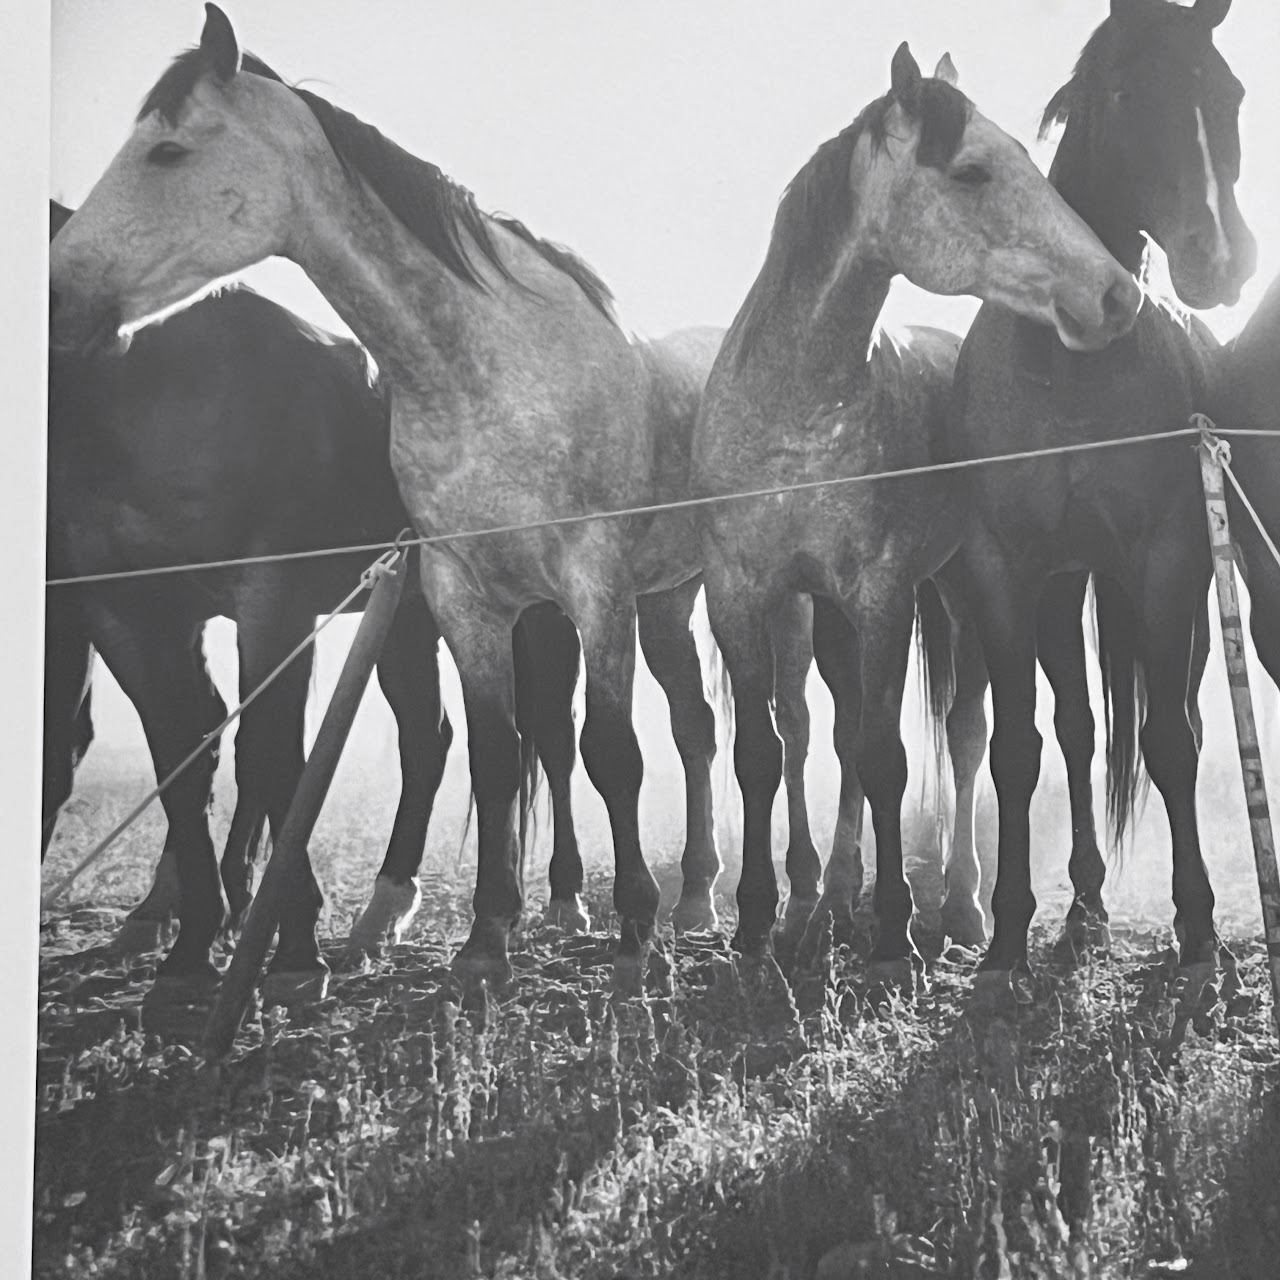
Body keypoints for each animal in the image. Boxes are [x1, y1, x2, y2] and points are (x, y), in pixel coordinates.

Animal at [952, 0, 1259, 983]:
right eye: (1127, 92)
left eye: (1230, 94)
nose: (1221, 258)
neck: (1069, 364)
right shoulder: (1007, 571)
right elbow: (1021, 748)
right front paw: (1007, 937)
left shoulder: (1166, 562)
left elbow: (1170, 743)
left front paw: (1198, 932)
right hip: (1064, 589)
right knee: (1080, 729)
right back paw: (1082, 907)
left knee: (1173, 722)